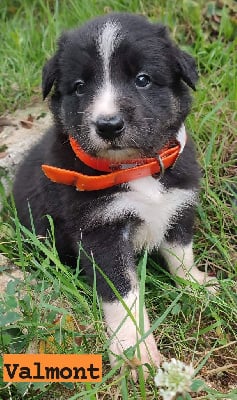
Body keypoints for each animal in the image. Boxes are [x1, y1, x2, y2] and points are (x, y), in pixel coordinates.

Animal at [13, 12, 216, 374]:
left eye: (143, 79)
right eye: (79, 87)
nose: (108, 125)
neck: (135, 168)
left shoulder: (178, 203)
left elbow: (181, 253)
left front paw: (196, 284)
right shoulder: (100, 230)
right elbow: (123, 293)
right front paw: (135, 350)